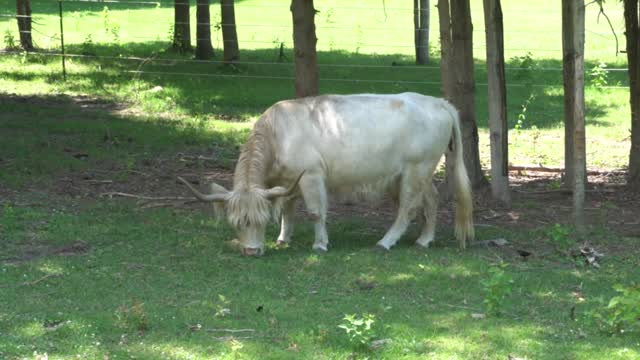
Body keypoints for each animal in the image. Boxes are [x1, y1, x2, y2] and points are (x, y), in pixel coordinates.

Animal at [178, 93, 472, 256]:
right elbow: (287, 210)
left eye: (259, 221)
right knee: (432, 199)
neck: (278, 133)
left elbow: (315, 212)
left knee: (407, 208)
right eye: (236, 222)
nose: (251, 252)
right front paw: (283, 239)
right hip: (417, 173)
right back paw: (424, 240)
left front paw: (320, 244)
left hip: (415, 170)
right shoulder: (286, 182)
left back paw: (385, 242)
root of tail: (438, 103)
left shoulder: (311, 176)